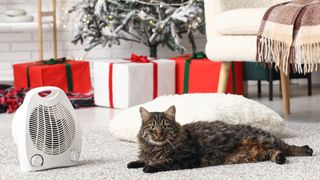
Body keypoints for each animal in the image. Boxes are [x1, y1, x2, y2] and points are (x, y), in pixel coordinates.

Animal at [127, 105, 312, 173]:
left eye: (165, 127)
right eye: (152, 128)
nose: (158, 134)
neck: (156, 147)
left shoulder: (187, 158)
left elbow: (164, 162)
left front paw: (150, 167)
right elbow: (143, 159)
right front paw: (134, 163)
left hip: (263, 140)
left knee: (286, 147)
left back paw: (304, 150)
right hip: (262, 151)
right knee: (278, 151)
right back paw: (280, 158)